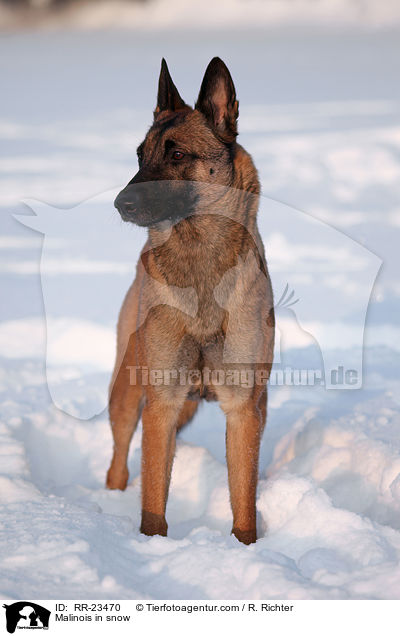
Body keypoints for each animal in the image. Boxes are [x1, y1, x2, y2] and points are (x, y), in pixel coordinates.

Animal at [106, 57, 276, 544]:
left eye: (178, 154)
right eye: (140, 156)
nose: (119, 204)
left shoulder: (244, 408)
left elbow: (244, 495)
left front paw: (246, 547)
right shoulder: (161, 402)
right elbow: (153, 497)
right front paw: (151, 543)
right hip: (128, 391)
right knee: (119, 460)